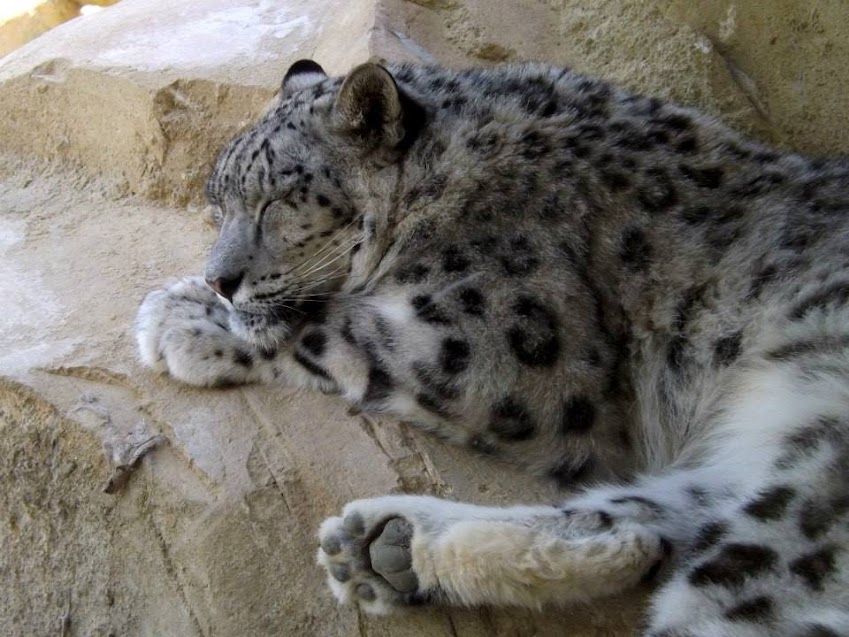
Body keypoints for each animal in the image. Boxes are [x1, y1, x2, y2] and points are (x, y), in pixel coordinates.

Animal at [136, 58, 848, 632]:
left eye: (280, 199)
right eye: (217, 206)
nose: (219, 280)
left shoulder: (490, 346)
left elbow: (336, 325)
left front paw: (179, 317)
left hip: (808, 479)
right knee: (656, 518)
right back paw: (387, 547)